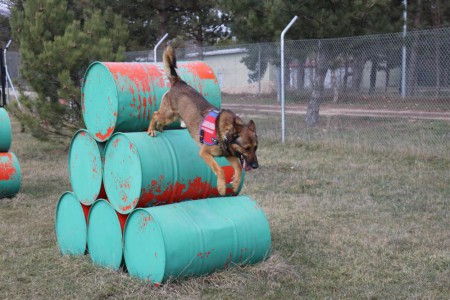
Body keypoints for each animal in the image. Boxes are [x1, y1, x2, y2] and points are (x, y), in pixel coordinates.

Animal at [149, 45, 258, 196]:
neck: (224, 133)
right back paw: (151, 130)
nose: (256, 166)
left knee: (160, 120)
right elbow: (219, 169)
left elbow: (238, 167)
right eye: (246, 148)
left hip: (172, 118)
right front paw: (221, 188)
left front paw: (236, 184)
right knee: (155, 114)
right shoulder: (205, 153)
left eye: (256, 147)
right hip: (168, 115)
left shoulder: (228, 155)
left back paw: (159, 128)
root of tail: (179, 82)